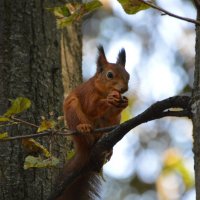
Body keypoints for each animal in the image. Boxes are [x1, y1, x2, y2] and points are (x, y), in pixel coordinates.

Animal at [57, 45, 130, 200]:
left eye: (128, 76)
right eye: (110, 75)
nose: (124, 89)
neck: (102, 90)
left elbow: (113, 113)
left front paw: (123, 103)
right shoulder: (88, 94)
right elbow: (91, 107)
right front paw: (109, 99)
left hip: (111, 125)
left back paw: (106, 145)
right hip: (73, 110)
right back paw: (83, 128)